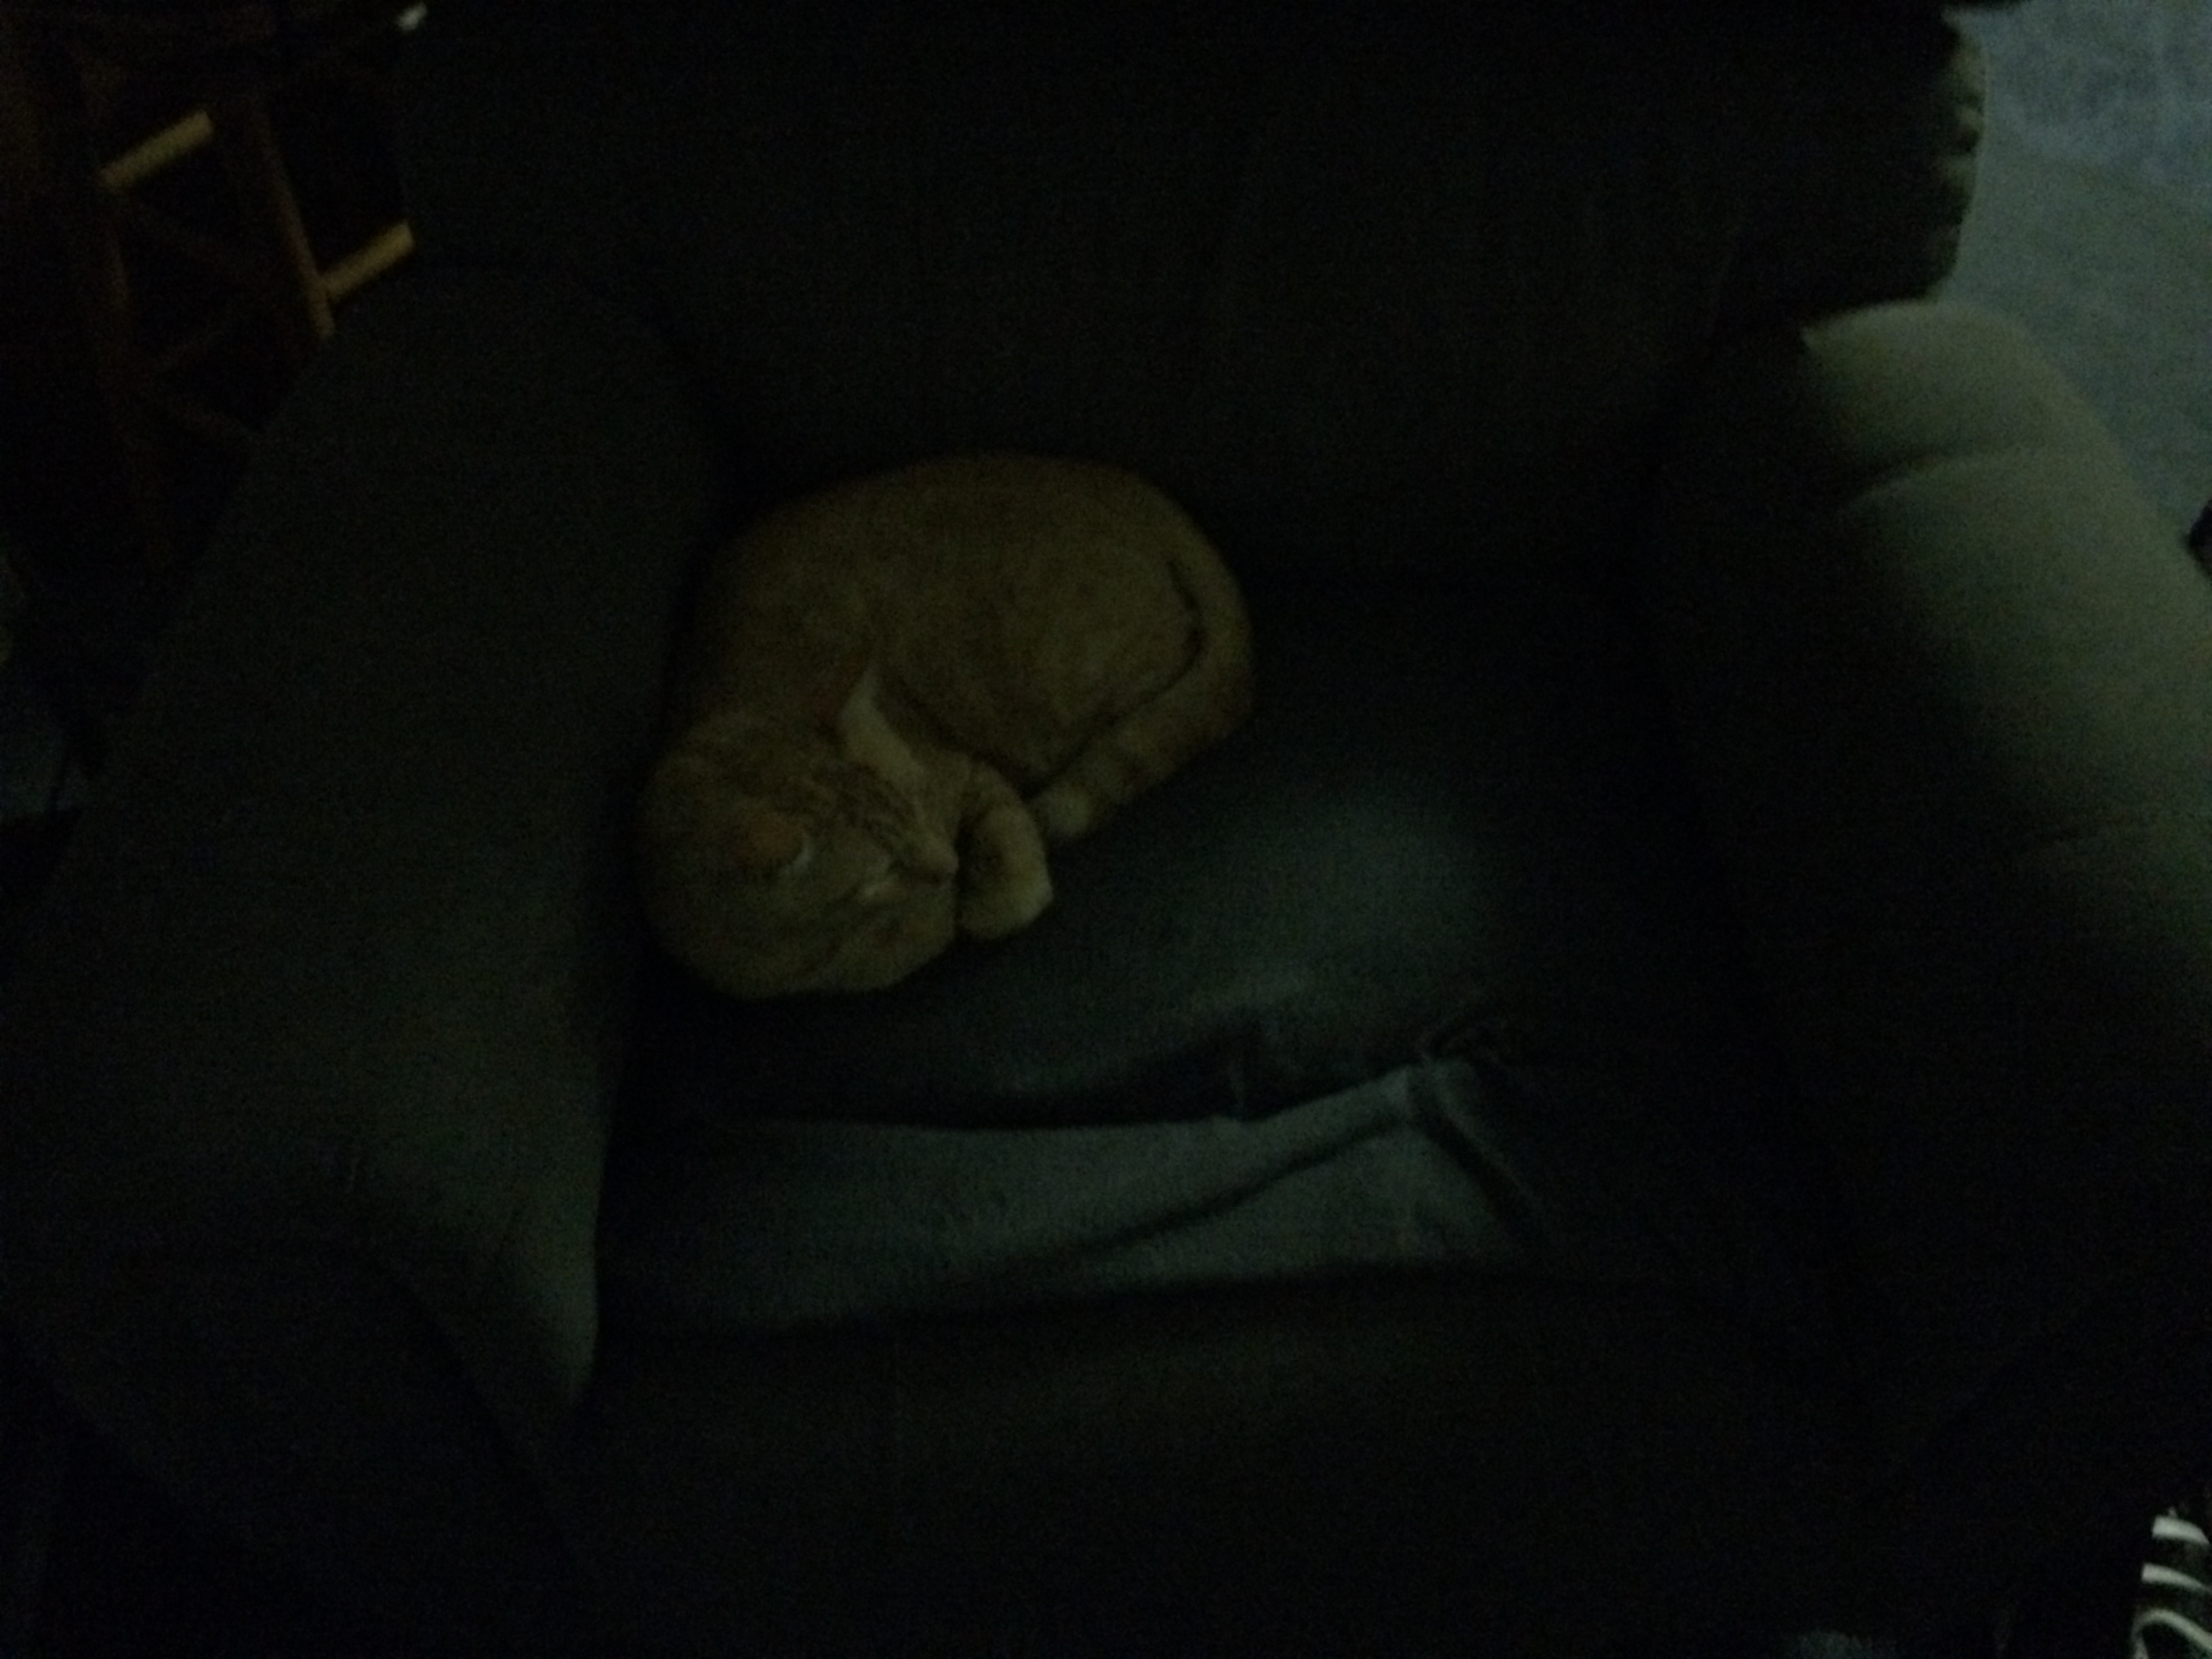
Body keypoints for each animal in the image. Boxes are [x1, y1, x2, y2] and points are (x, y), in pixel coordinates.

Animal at [637, 452, 1255, 998]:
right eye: (878, 875)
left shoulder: (965, 770)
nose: (947, 866)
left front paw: (983, 900)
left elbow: (1010, 873)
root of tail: (1125, 485)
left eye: (920, 797)